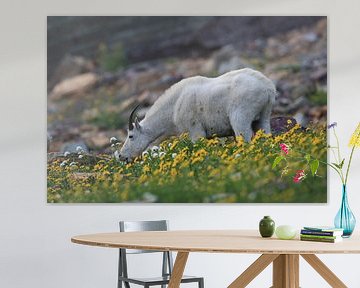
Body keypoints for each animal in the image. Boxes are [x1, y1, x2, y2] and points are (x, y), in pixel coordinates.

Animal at [119, 68, 278, 161]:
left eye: (130, 136)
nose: (121, 156)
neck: (173, 108)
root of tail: (268, 88)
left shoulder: (195, 131)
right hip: (264, 115)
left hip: (241, 116)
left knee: (245, 138)